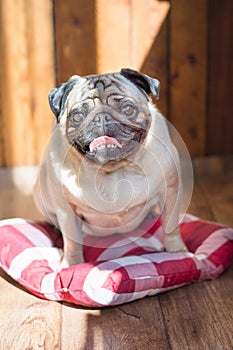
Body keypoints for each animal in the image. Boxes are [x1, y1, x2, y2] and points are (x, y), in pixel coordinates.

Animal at [33, 67, 187, 266]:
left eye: (128, 109)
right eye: (77, 116)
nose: (102, 118)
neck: (113, 170)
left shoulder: (171, 192)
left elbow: (170, 226)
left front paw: (177, 251)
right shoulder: (66, 211)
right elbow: (72, 241)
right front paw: (72, 264)